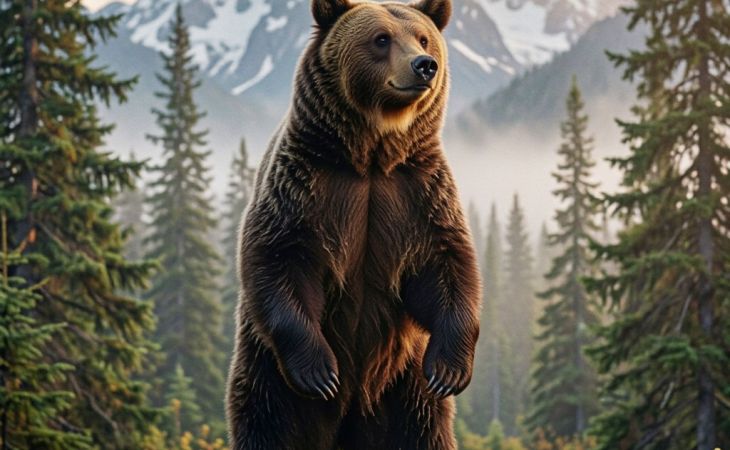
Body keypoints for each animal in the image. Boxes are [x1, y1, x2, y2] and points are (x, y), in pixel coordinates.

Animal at [226, 0, 482, 448]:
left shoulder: (418, 193)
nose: (425, 65)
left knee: (424, 429)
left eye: (423, 37)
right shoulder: (304, 187)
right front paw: (320, 373)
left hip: (403, 388)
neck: (373, 154)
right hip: (267, 374)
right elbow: (279, 258)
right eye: (381, 38)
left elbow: (447, 264)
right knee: (266, 422)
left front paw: (449, 370)